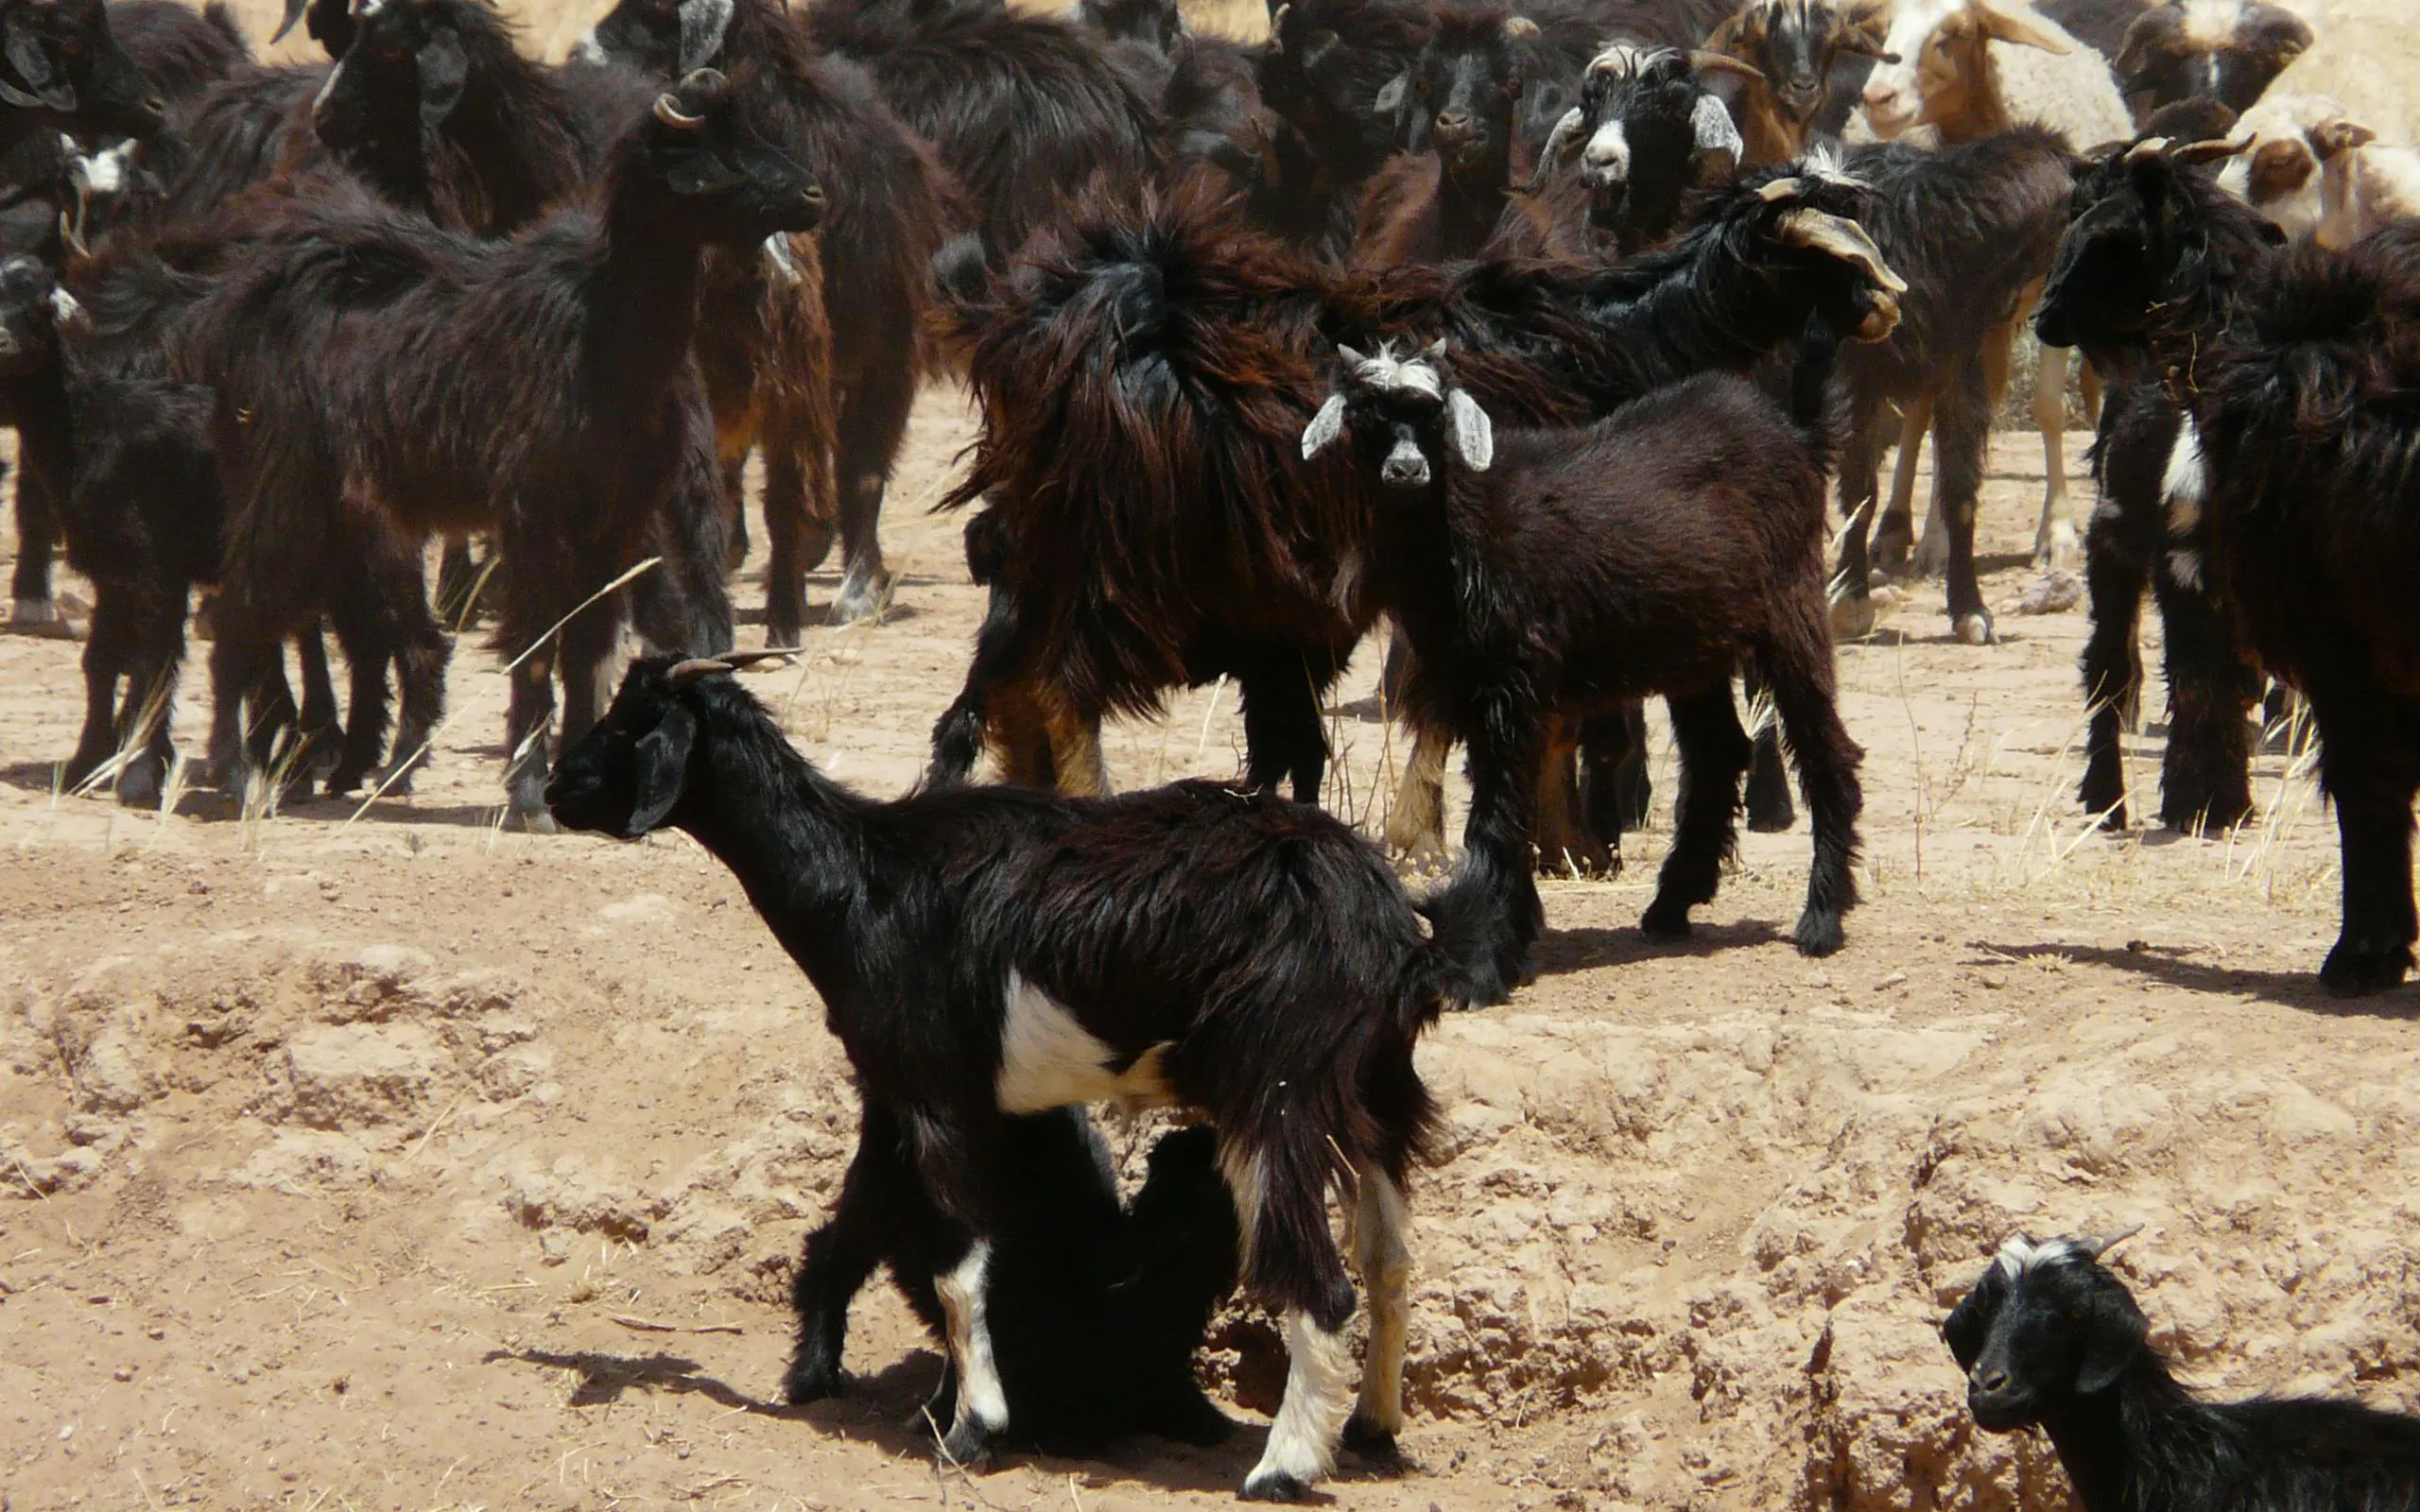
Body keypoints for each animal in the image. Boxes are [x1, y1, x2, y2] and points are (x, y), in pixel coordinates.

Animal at [176, 68, 819, 822]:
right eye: (711, 153)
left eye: (751, 130)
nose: (813, 195)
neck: (600, 330)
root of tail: (239, 307)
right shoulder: (532, 513)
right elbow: (537, 644)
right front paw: (528, 794)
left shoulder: (613, 522)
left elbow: (587, 645)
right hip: (283, 493)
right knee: (240, 618)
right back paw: (238, 779)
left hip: (340, 513)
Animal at [1304, 332, 1869, 1000]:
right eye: (1364, 418)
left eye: (1436, 415)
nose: (1406, 471)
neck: (1466, 529)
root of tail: (1797, 435)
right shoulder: (1472, 686)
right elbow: (1502, 806)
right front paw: (1511, 939)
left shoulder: (1514, 686)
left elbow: (1497, 816)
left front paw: (1482, 964)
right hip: (1695, 646)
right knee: (1719, 751)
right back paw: (1671, 905)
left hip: (1791, 608)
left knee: (1824, 748)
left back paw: (1822, 919)